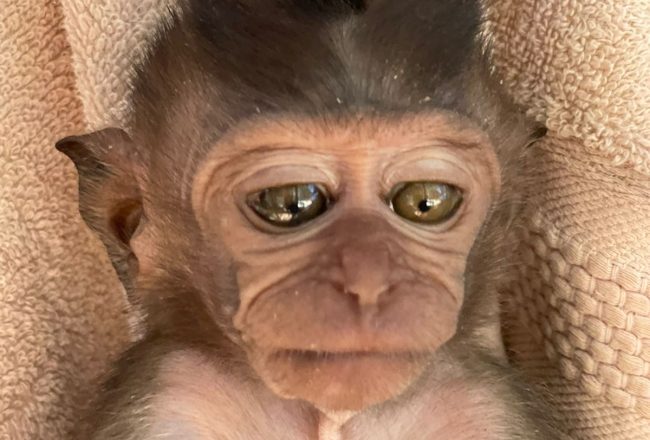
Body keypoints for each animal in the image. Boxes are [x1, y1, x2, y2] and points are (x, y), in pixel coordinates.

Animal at [56, 0, 563, 439]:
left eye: (425, 201)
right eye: (292, 201)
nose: (369, 280)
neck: (331, 415)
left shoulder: (486, 407)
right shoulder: (165, 394)